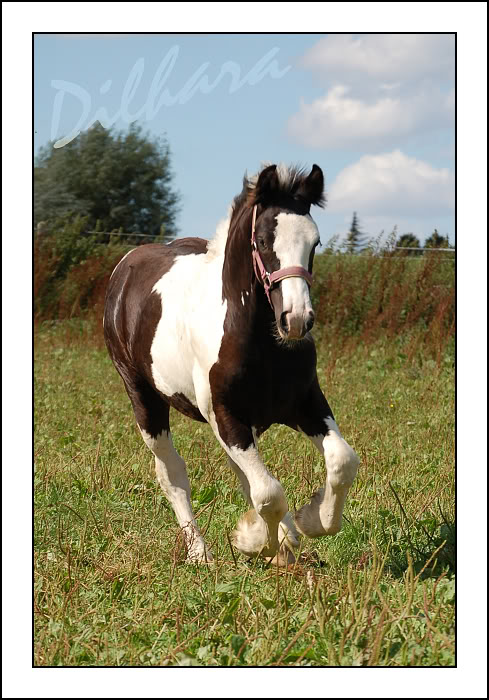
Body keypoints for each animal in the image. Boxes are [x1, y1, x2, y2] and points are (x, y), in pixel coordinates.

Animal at [104, 165, 358, 568]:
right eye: (264, 240)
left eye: (315, 242)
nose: (296, 320)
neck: (259, 343)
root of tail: (126, 265)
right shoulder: (225, 415)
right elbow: (268, 492)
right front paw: (254, 542)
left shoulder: (305, 404)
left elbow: (342, 460)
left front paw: (311, 520)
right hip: (145, 398)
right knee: (172, 473)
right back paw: (200, 553)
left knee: (242, 474)